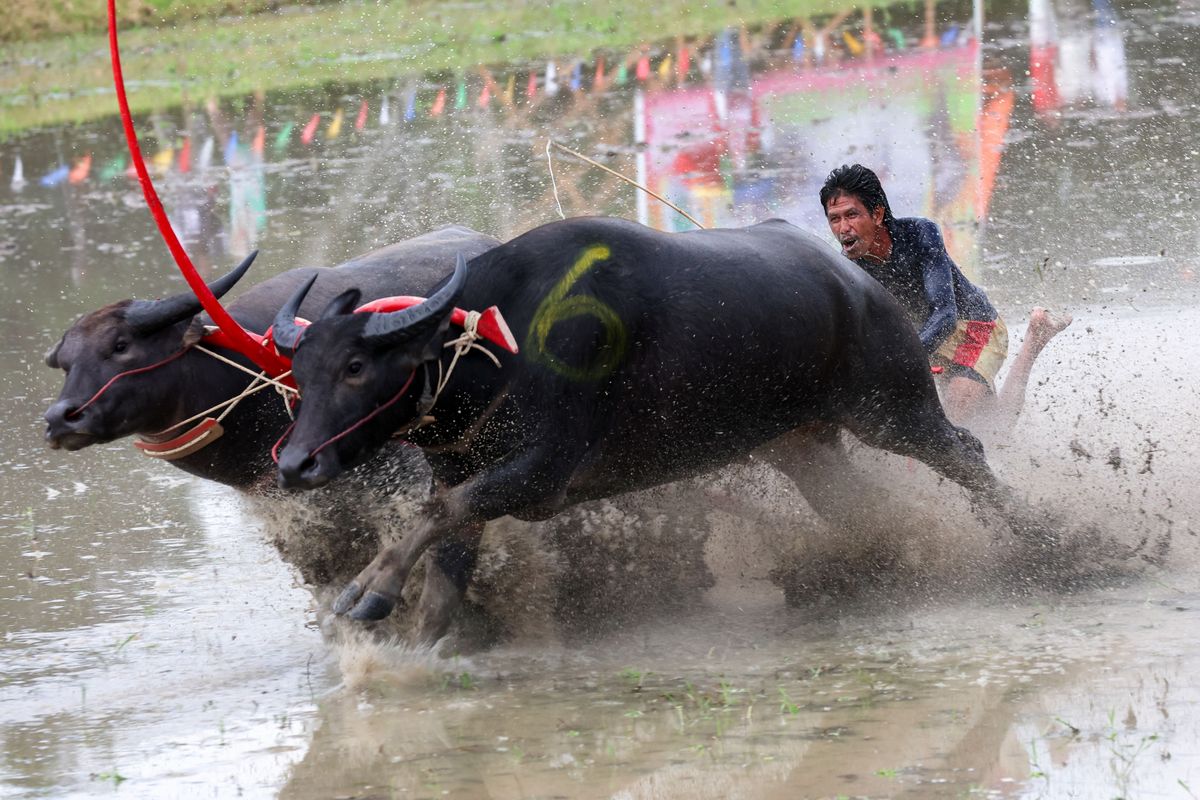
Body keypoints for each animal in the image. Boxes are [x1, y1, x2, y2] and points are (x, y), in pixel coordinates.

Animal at [272, 215, 1041, 642]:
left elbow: (436, 515)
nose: (294, 464)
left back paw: (1046, 546)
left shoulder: (543, 473)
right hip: (800, 443)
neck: (500, 344)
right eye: (300, 370)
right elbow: (445, 564)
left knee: (965, 451)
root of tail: (859, 284)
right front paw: (410, 641)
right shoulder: (470, 474)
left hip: (892, 407)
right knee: (858, 503)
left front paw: (363, 591)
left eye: (356, 366)